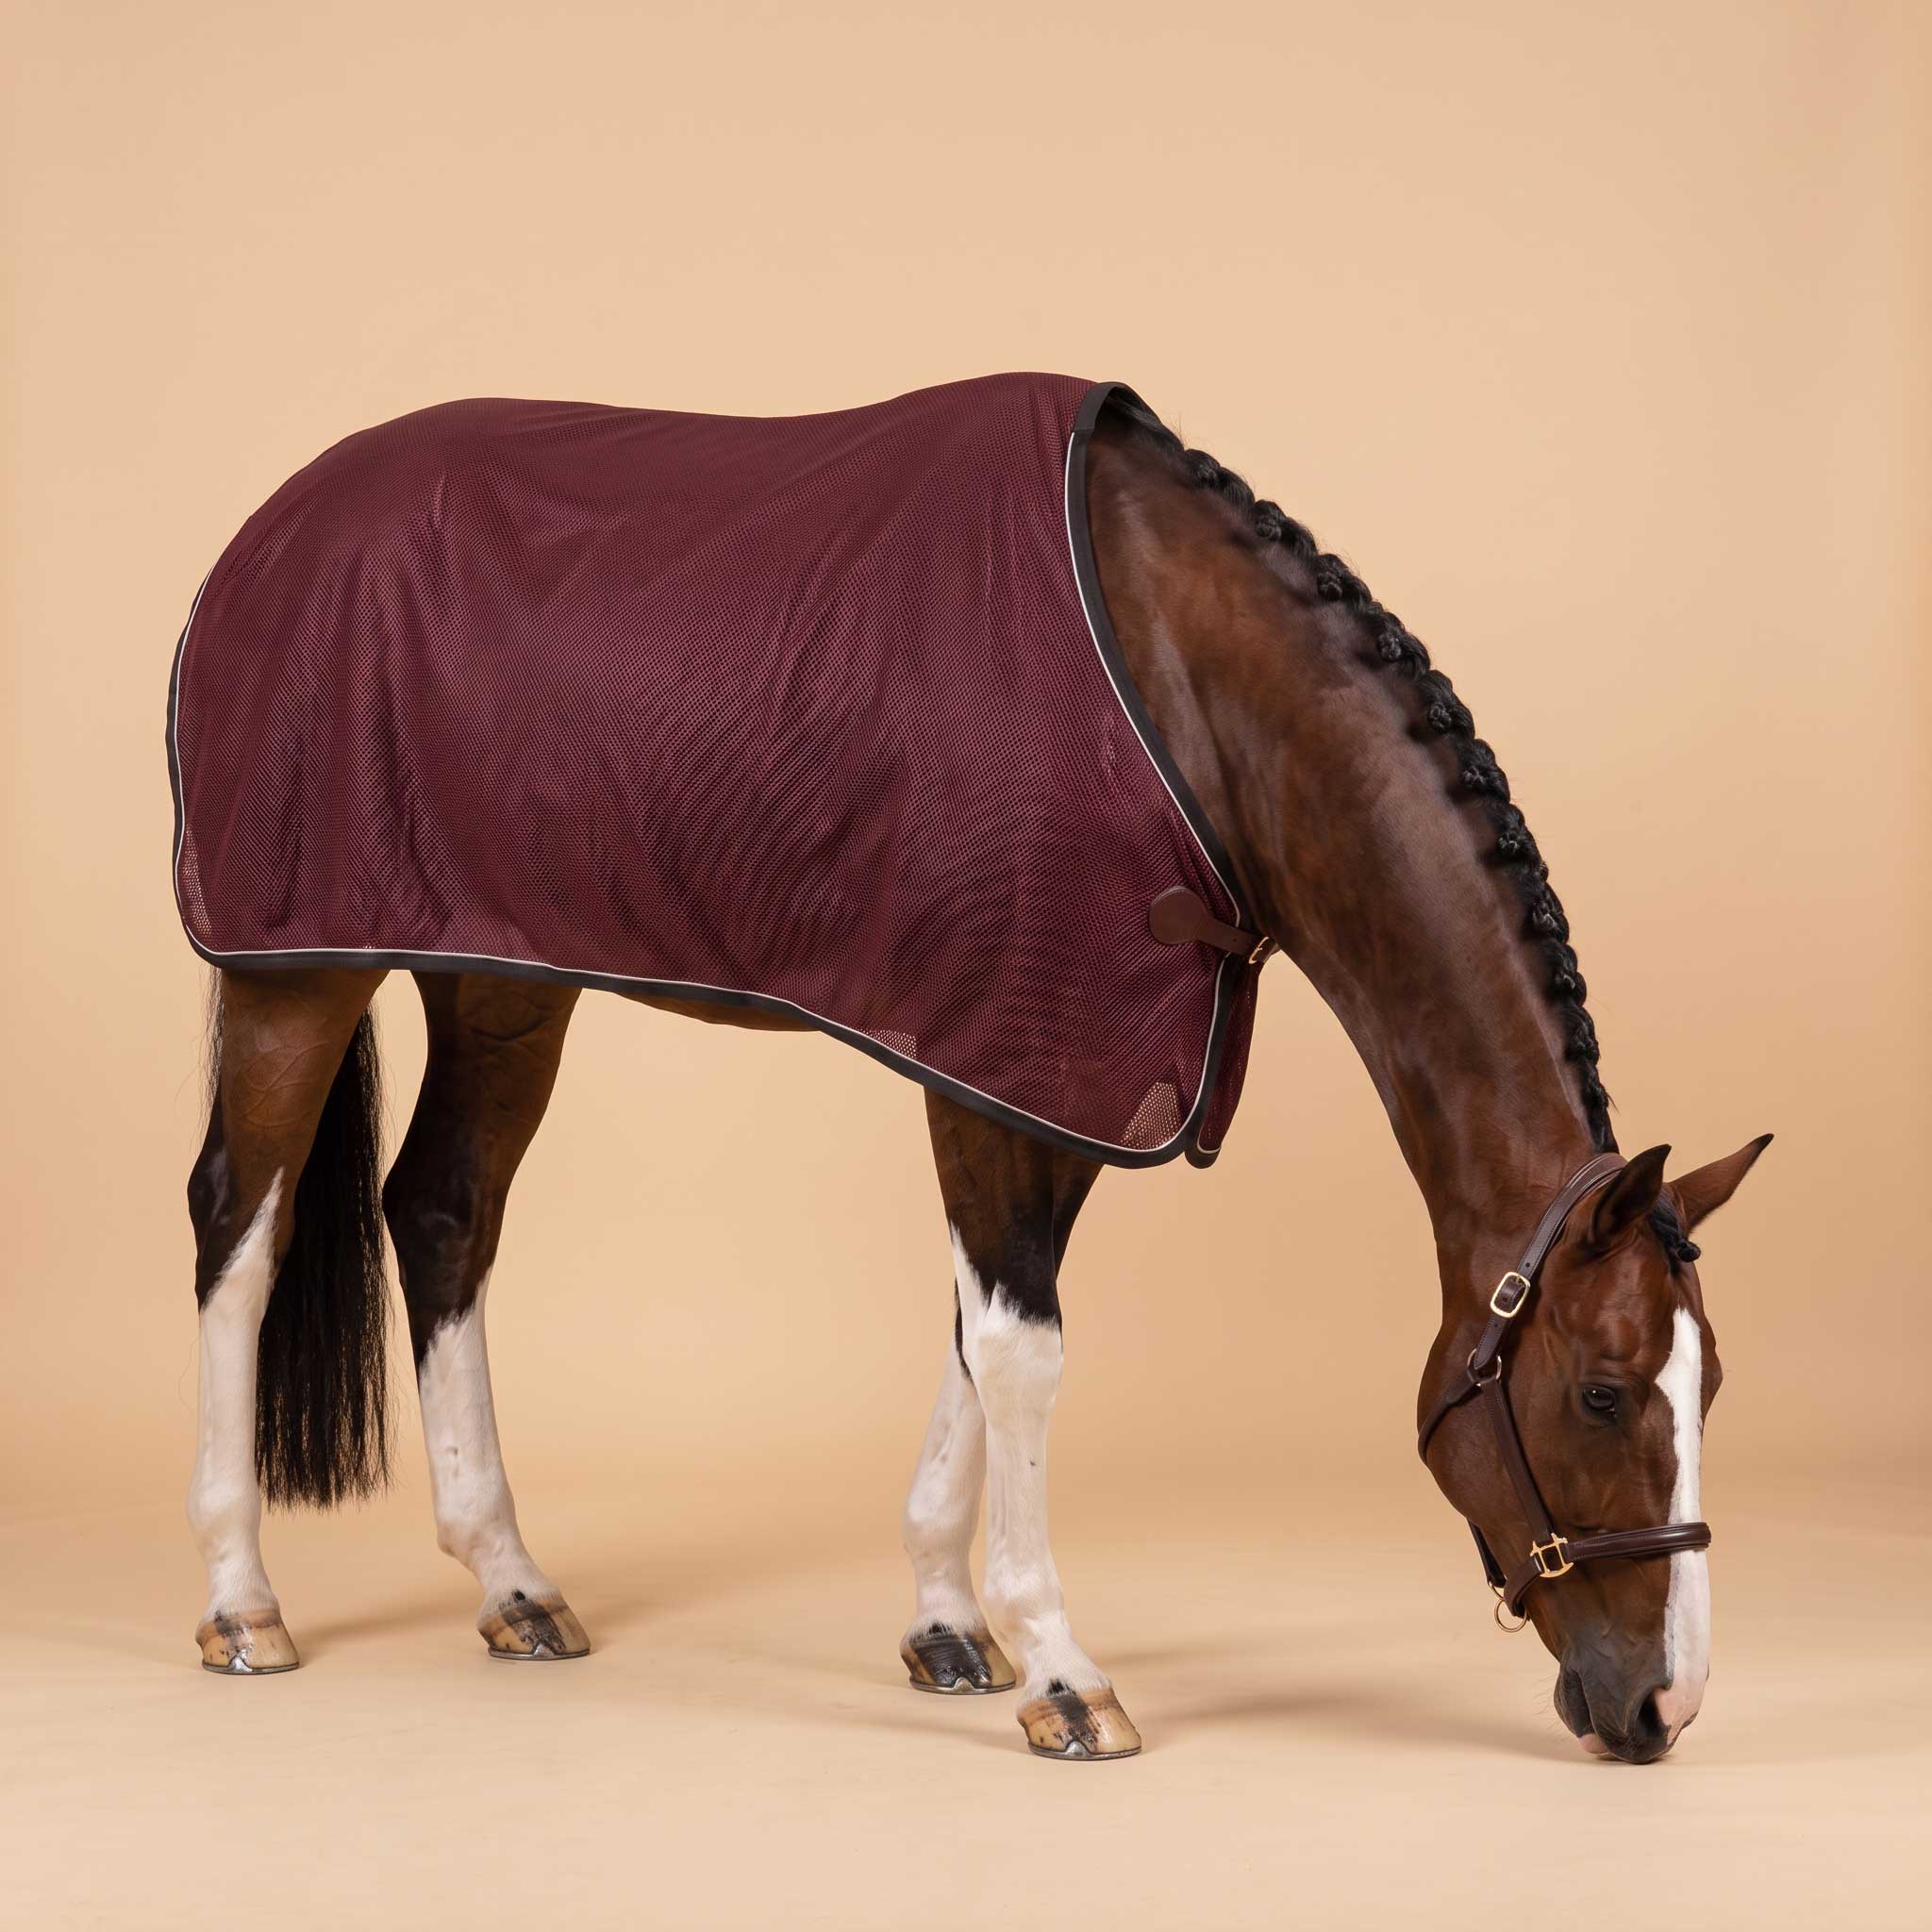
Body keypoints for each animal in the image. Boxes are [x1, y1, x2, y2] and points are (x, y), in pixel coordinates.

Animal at [170, 374, 1769, 1764]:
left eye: (1713, 1386)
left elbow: (975, 1324)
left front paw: (948, 1622)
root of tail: (278, 524)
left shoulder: (1058, 1069)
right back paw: (241, 1601)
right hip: (296, 970)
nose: (1664, 1708)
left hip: (497, 976)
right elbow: (1020, 1350)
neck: (1179, 689)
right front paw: (1063, 1670)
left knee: (442, 1211)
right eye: (1604, 1394)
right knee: (239, 1229)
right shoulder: (1005, 1051)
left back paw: (511, 1582)